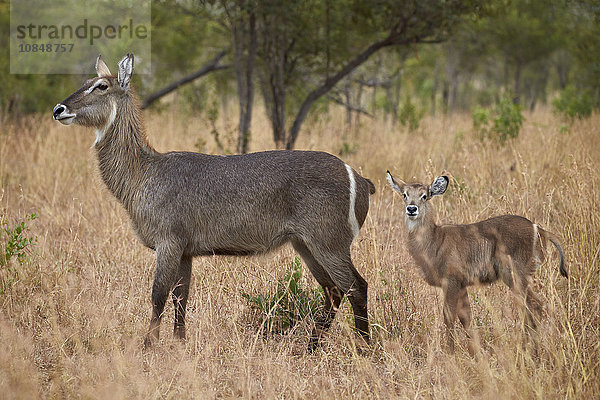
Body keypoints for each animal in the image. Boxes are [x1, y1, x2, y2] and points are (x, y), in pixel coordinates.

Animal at [52, 54, 376, 350]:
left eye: (101, 86)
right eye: (86, 82)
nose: (58, 109)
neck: (143, 172)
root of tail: (360, 178)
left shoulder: (168, 242)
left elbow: (158, 295)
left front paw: (148, 346)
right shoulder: (185, 251)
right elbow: (181, 297)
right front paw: (180, 344)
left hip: (329, 243)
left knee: (356, 287)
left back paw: (364, 348)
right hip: (305, 245)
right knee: (333, 291)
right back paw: (310, 349)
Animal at [386, 172, 564, 354]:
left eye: (424, 195)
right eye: (404, 194)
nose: (411, 209)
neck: (434, 241)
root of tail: (540, 230)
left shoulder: (451, 281)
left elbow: (449, 316)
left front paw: (450, 353)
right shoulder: (462, 285)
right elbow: (466, 318)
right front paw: (475, 352)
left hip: (514, 276)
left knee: (534, 306)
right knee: (533, 307)